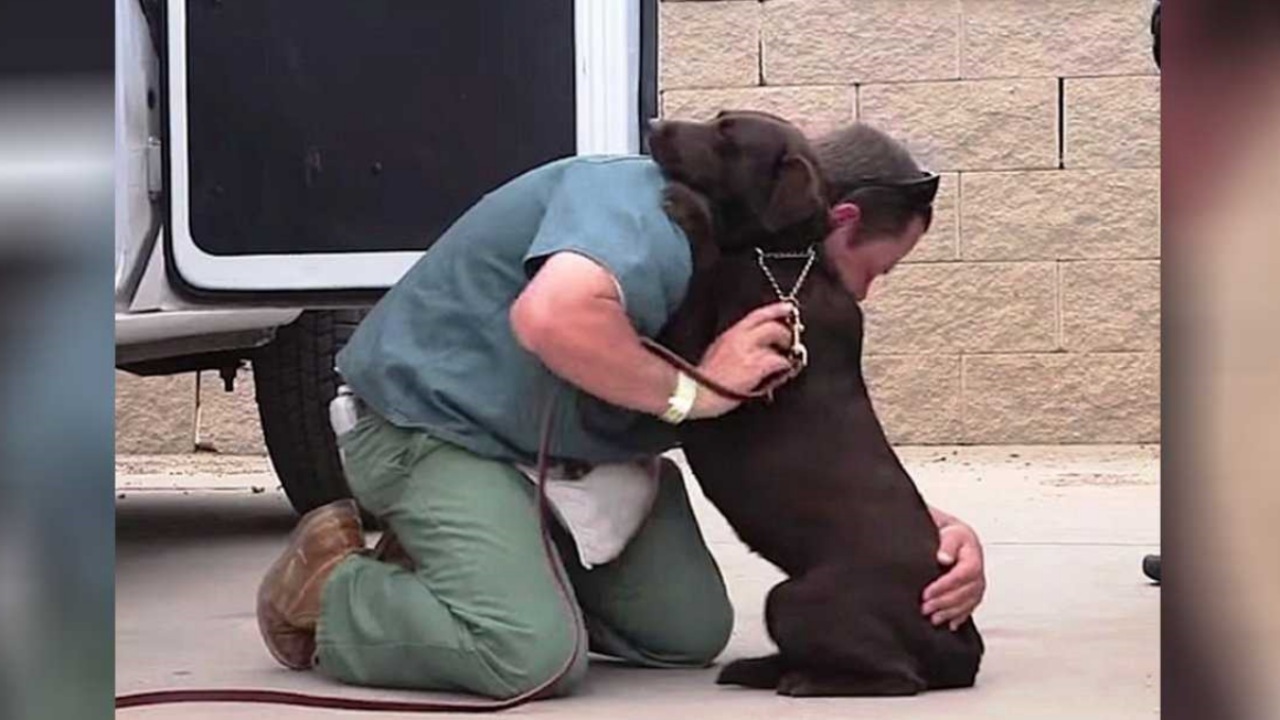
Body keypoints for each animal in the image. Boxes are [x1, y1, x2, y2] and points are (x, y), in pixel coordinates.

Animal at [645, 113, 983, 696]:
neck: (783, 256)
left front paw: (689, 208)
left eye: (727, 137)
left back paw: (803, 681)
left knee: (900, 678)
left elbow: (698, 276)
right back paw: (761, 669)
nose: (653, 123)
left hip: (795, 598)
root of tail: (963, 647)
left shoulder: (708, 359)